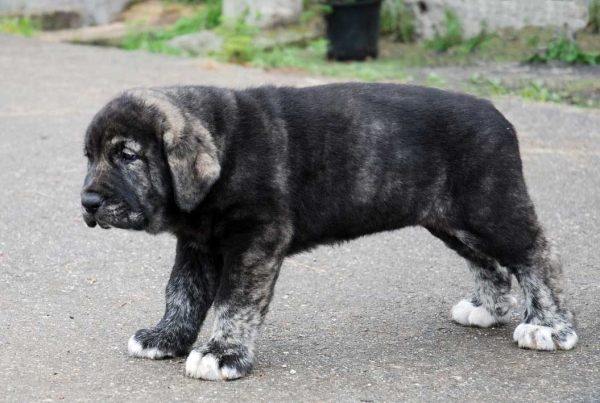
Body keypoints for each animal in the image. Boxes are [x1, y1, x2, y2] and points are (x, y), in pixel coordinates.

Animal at [79, 83, 576, 382]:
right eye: (89, 157)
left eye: (127, 155)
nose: (87, 202)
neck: (226, 149)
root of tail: (499, 115)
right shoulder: (198, 243)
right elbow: (181, 292)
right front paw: (165, 338)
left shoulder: (257, 238)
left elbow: (233, 300)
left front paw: (223, 354)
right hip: (452, 220)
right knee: (489, 261)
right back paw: (488, 308)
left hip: (490, 209)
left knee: (537, 255)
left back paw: (549, 327)